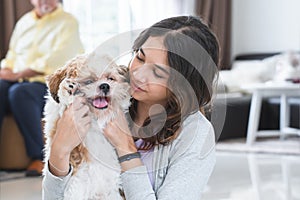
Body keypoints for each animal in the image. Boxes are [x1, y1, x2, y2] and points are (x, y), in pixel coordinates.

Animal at [42, 51, 130, 198]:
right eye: (89, 81)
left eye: (110, 78)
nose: (105, 86)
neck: (94, 116)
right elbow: (64, 105)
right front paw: (68, 91)